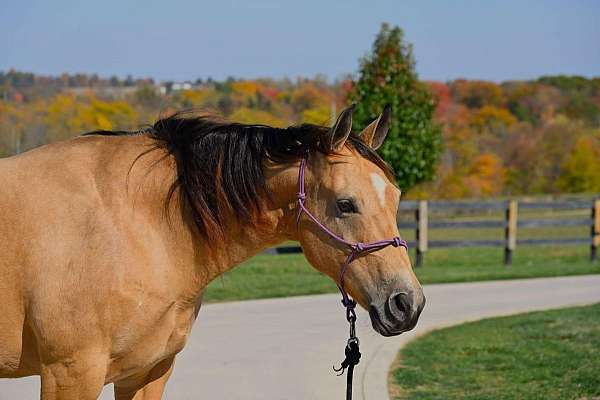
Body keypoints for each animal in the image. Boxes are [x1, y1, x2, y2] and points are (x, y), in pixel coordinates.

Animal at [0, 104, 424, 398]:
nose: (407, 303)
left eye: (396, 197)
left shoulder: (148, 371)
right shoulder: (70, 374)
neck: (134, 222)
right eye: (346, 204)